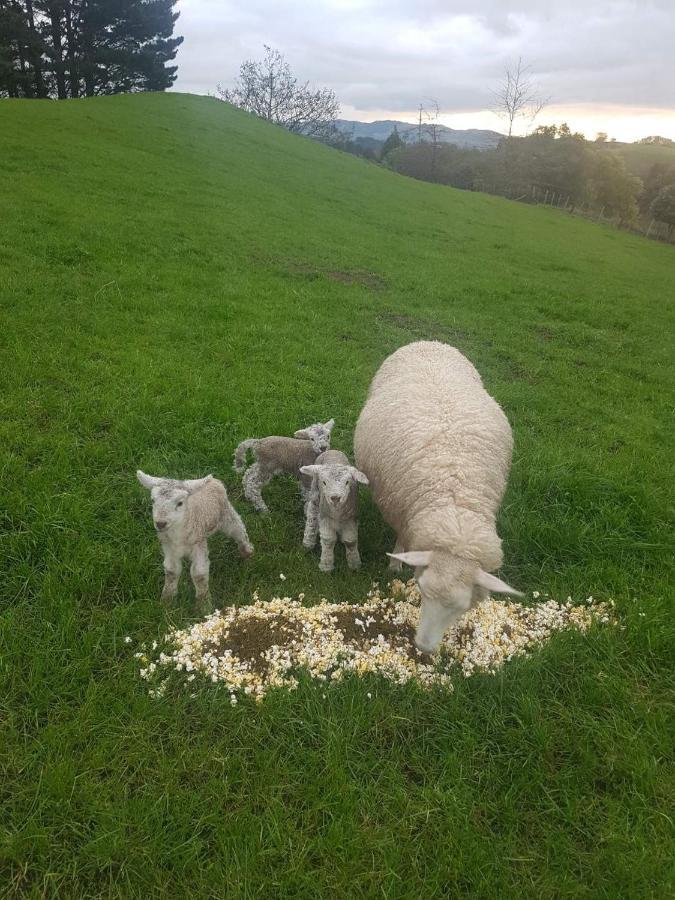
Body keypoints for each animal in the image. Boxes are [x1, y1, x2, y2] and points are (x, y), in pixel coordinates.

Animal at [136, 472, 255, 612]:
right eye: (153, 501)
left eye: (180, 503)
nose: (160, 523)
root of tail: (214, 480)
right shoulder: (169, 547)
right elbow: (171, 570)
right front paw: (167, 600)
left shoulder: (199, 544)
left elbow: (199, 574)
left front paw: (204, 605)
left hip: (226, 515)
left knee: (239, 530)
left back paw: (247, 551)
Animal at [354, 342, 524, 652]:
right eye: (422, 591)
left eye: (461, 607)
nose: (423, 646)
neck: (455, 507)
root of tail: (428, 341)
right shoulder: (405, 513)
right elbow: (401, 541)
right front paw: (395, 564)